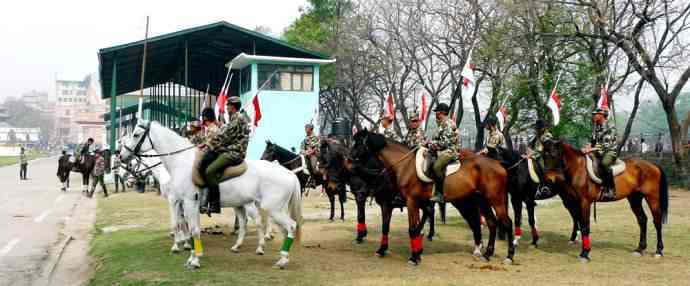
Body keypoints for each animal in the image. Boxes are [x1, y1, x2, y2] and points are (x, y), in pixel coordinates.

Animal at [119, 122, 302, 270]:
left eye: (136, 134)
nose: (122, 157)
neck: (182, 162)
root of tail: (289, 174)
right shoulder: (186, 203)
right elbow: (190, 228)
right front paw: (191, 254)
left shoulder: (185, 202)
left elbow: (190, 228)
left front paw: (192, 258)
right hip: (261, 208)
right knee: (272, 228)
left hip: (272, 209)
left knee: (289, 226)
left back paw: (279, 259)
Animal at [352, 130, 512, 266]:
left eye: (359, 143)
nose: (350, 157)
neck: (404, 166)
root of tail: (498, 165)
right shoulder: (409, 203)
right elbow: (392, 227)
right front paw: (387, 250)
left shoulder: (411, 202)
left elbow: (413, 229)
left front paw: (414, 257)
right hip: (482, 201)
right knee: (491, 223)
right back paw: (487, 254)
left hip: (495, 200)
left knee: (506, 223)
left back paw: (509, 257)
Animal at [540, 140, 668, 262]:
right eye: (543, 156)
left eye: (553, 154)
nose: (548, 180)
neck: (579, 169)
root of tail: (653, 165)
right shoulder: (576, 203)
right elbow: (580, 224)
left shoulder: (584, 203)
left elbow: (585, 227)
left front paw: (585, 254)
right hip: (634, 199)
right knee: (642, 220)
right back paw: (640, 249)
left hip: (652, 198)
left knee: (657, 222)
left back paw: (658, 251)